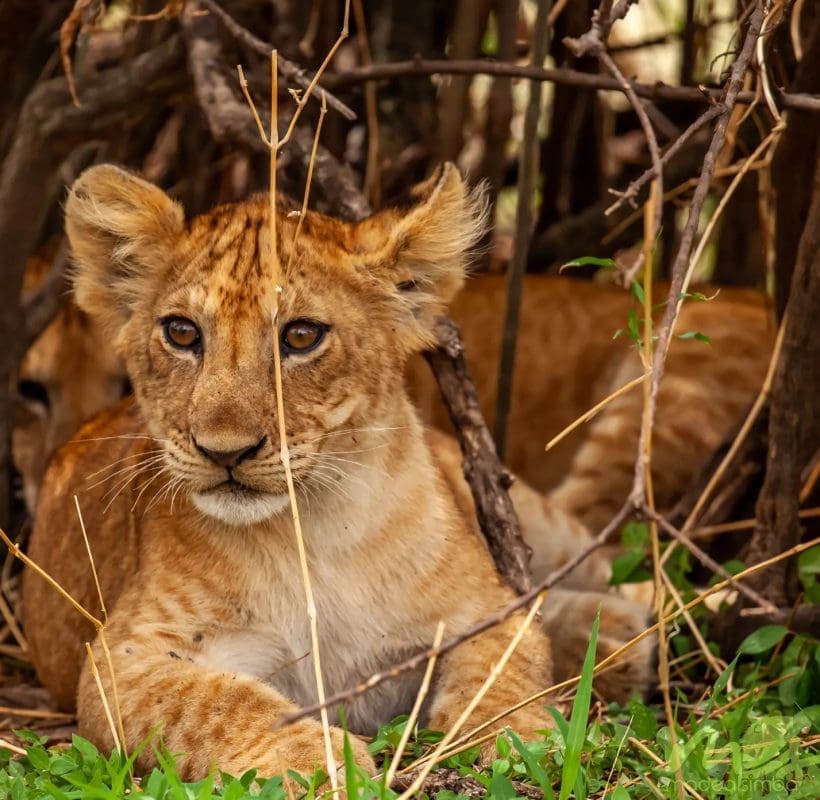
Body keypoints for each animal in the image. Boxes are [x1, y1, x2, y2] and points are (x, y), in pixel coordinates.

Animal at [24, 163, 654, 781]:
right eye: (182, 333)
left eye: (301, 336)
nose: (224, 451)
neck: (315, 528)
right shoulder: (123, 660)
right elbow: (219, 703)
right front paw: (318, 761)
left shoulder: (481, 610)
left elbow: (503, 667)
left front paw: (516, 737)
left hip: (533, 516)